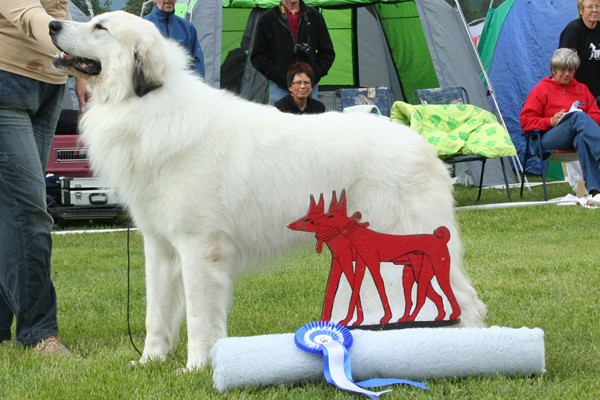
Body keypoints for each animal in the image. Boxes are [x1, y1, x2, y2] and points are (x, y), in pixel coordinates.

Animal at [48, 10, 488, 370]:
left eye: (100, 27)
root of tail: (421, 144)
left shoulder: (198, 246)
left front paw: (197, 367)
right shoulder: (159, 247)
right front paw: (149, 362)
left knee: (463, 300)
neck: (148, 107)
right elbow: (155, 313)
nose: (51, 25)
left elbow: (198, 316)